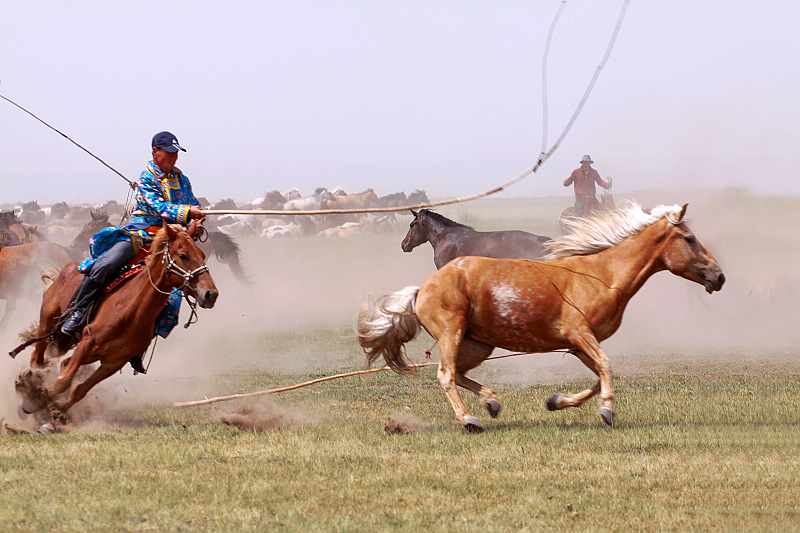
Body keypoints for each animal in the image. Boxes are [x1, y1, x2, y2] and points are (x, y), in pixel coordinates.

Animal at [12, 223, 219, 420]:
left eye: (203, 255)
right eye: (183, 256)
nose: (211, 294)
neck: (130, 311)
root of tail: (65, 269)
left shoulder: (113, 362)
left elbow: (79, 389)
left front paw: (58, 412)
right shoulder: (87, 343)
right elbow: (63, 381)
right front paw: (33, 403)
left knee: (63, 363)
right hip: (47, 324)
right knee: (37, 358)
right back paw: (33, 380)